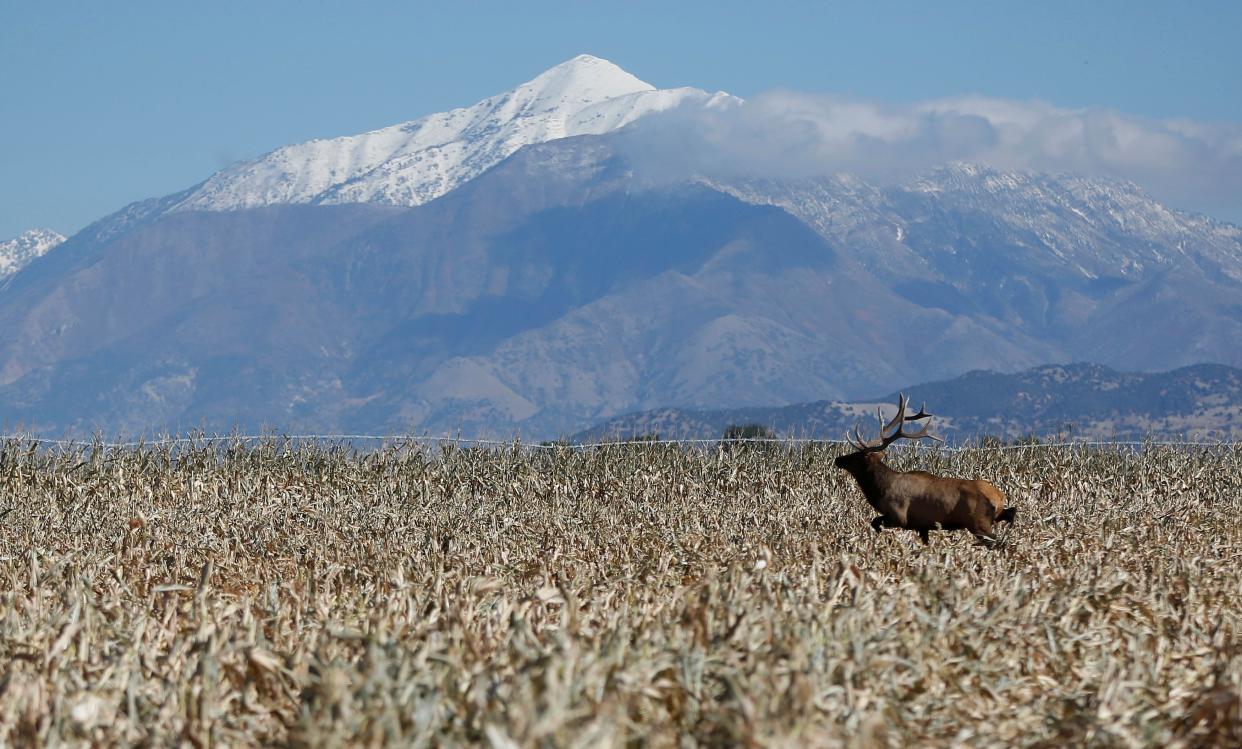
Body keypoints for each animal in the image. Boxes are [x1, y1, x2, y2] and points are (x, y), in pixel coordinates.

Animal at [834, 394, 1018, 549]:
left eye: (856, 456)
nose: (838, 459)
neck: (880, 491)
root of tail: (999, 497)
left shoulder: (899, 516)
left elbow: (874, 522)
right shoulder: (923, 526)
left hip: (978, 522)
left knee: (996, 541)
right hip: (991, 518)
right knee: (1010, 514)